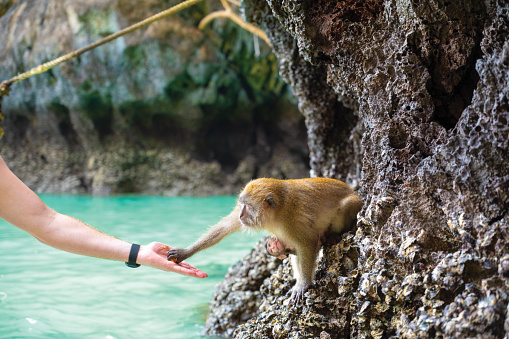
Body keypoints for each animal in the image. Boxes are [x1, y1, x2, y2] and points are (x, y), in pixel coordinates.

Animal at [169, 178, 364, 302]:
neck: (278, 212)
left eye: (247, 206)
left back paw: (330, 235)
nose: (240, 214)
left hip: (355, 204)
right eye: (242, 205)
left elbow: (307, 244)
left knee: (344, 207)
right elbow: (226, 226)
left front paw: (304, 284)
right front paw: (184, 252)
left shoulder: (292, 222)